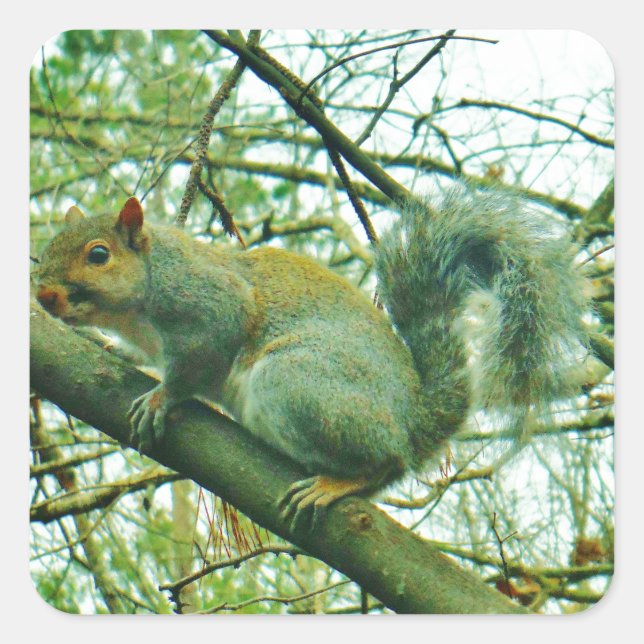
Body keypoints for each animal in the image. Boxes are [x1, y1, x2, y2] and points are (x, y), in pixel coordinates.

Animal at [35, 190, 589, 526]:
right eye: (47, 248)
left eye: (99, 255)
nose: (43, 296)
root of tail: (410, 424)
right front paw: (106, 346)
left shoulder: (210, 303)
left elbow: (196, 362)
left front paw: (161, 397)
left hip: (295, 382)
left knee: (381, 463)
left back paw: (335, 483)